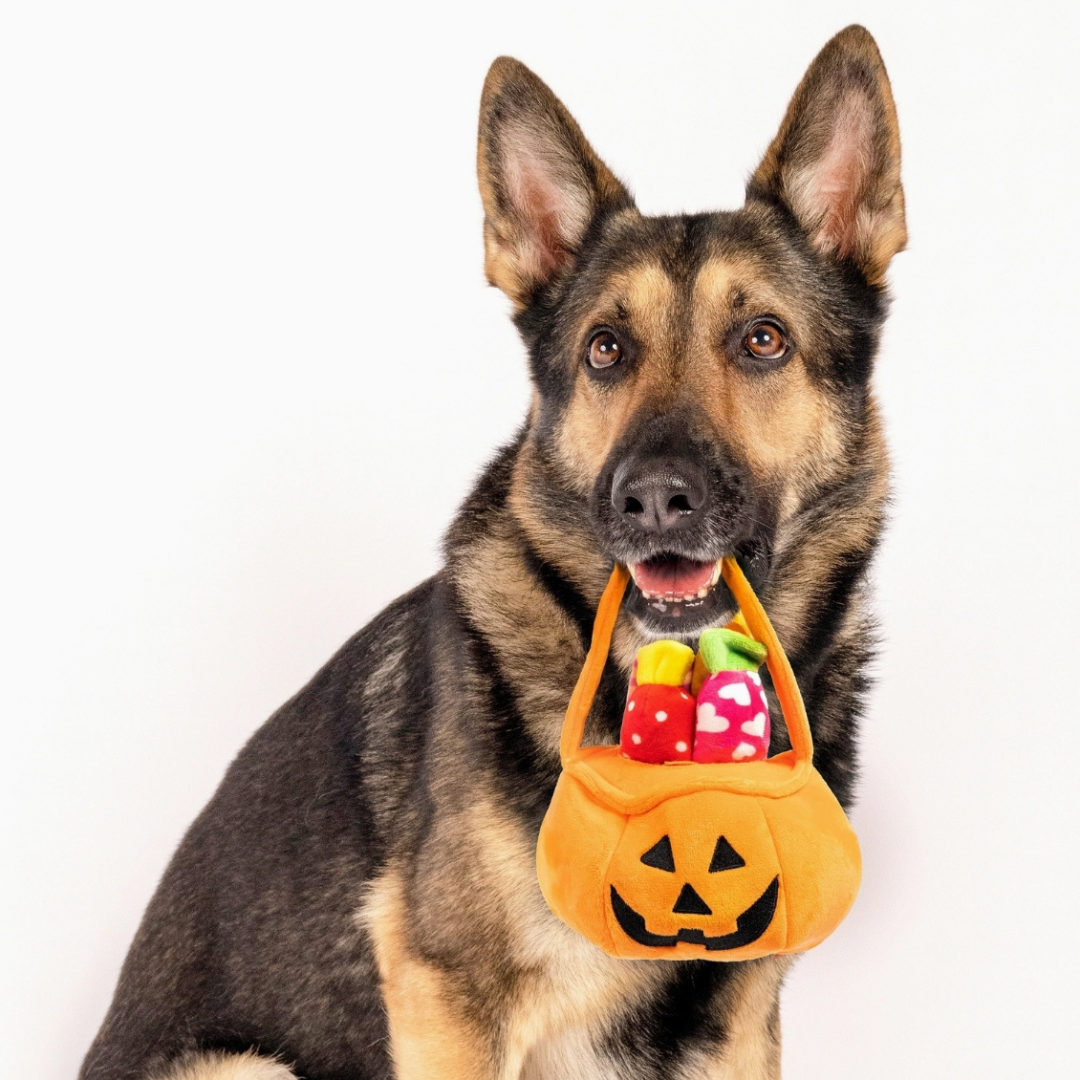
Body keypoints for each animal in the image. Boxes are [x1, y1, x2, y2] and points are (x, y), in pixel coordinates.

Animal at [82, 23, 902, 1080]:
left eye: (763, 340)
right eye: (604, 350)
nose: (653, 499)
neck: (678, 698)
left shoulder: (740, 1025)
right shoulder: (449, 1000)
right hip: (245, 1065)